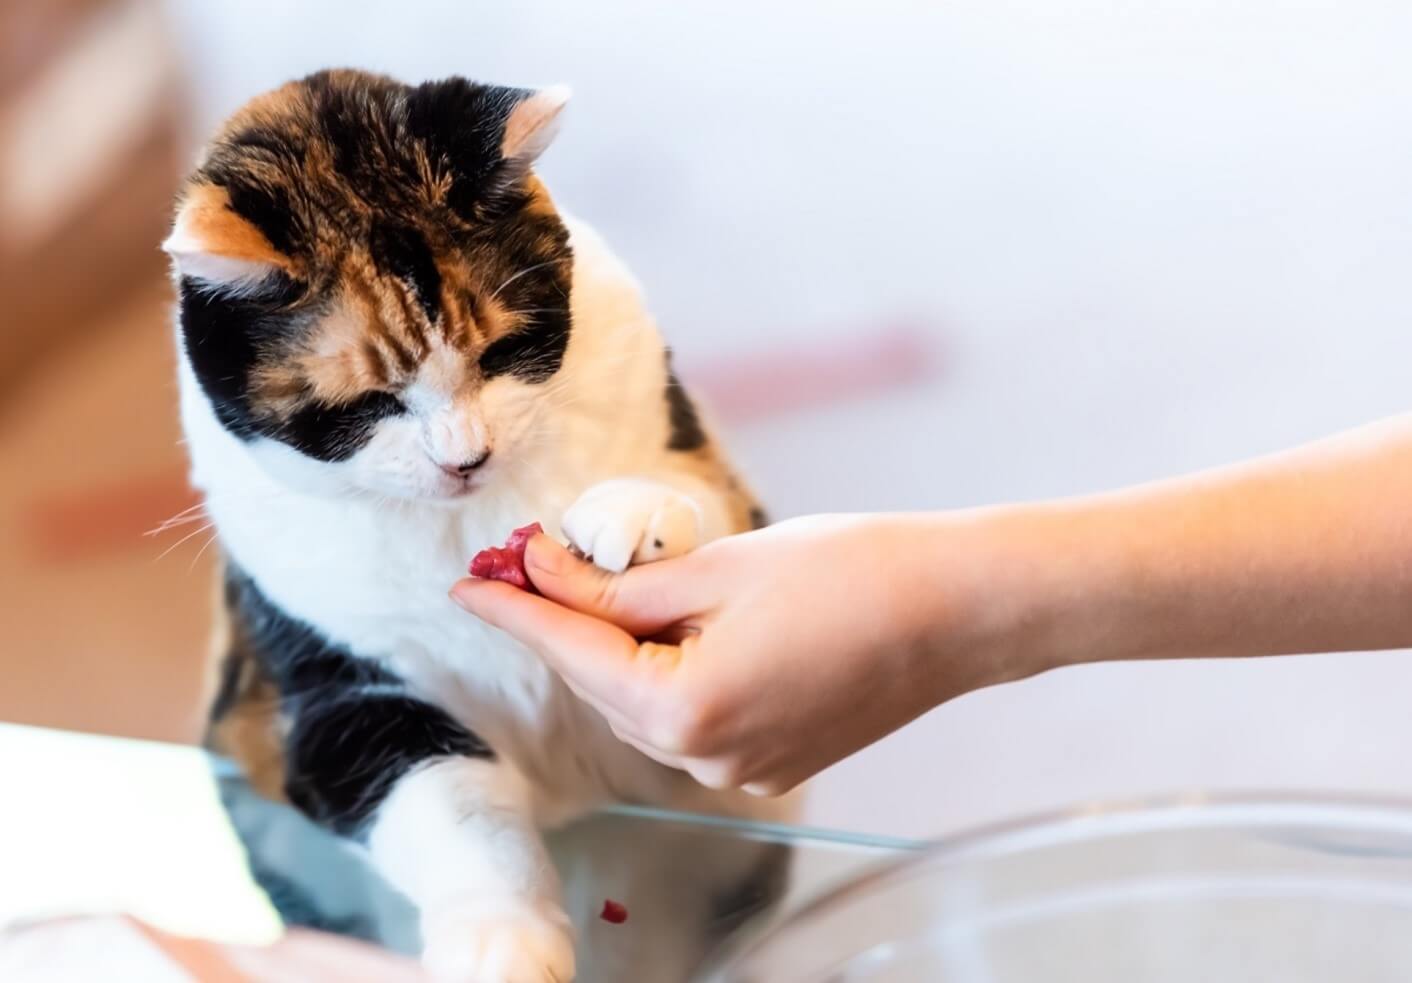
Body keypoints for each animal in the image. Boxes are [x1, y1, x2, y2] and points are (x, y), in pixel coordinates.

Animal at [166, 70, 790, 983]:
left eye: (498, 354)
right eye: (369, 403)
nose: (467, 458)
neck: (462, 524)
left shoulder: (713, 476)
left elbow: (703, 500)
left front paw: (631, 514)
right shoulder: (330, 702)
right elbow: (454, 809)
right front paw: (507, 939)